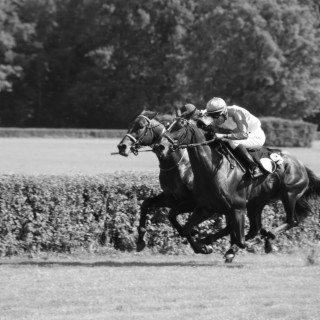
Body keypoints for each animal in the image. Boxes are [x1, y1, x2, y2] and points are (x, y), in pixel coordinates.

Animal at [117, 111, 215, 254]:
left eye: (140, 126)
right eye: (130, 125)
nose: (122, 146)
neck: (179, 166)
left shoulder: (194, 202)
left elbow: (174, 217)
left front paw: (200, 246)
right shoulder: (170, 199)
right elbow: (146, 203)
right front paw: (140, 240)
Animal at [154, 119, 320, 262]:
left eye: (180, 127)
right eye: (167, 126)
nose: (160, 146)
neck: (213, 169)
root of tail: (300, 164)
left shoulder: (237, 208)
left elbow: (241, 241)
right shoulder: (206, 207)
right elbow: (185, 228)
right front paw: (203, 247)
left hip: (289, 194)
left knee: (291, 221)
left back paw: (269, 238)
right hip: (256, 203)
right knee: (254, 228)